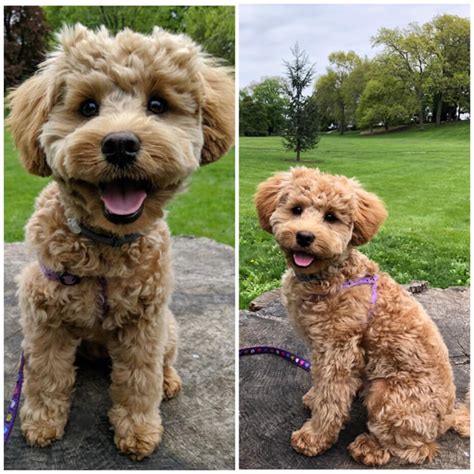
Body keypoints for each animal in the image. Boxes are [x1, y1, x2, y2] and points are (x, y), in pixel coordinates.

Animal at [8, 25, 234, 460]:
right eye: (87, 107)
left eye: (158, 104)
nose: (120, 144)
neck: (105, 248)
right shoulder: (44, 315)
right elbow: (45, 374)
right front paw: (41, 422)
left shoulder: (145, 322)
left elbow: (139, 380)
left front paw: (138, 430)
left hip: (169, 327)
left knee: (164, 363)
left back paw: (168, 381)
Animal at [254, 168, 468, 466]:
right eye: (296, 209)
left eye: (331, 217)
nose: (305, 236)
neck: (330, 275)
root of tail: (448, 417)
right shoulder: (320, 347)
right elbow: (320, 381)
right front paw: (314, 398)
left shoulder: (339, 350)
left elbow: (332, 398)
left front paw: (314, 438)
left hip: (387, 395)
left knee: (416, 447)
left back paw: (370, 448)